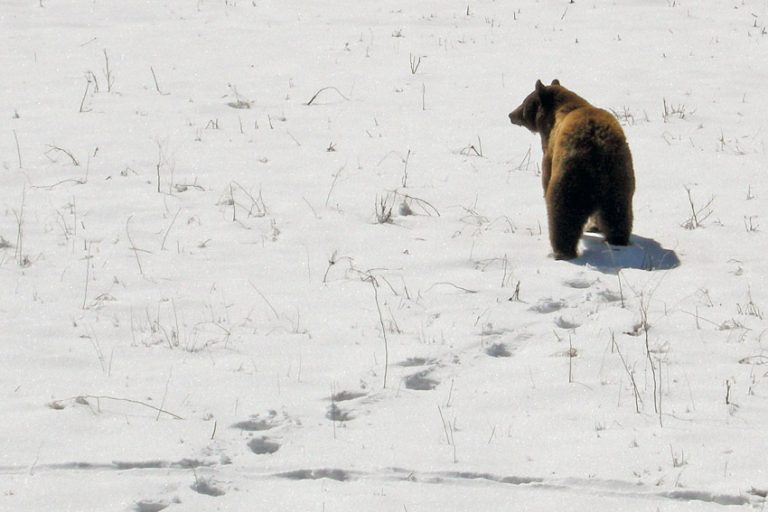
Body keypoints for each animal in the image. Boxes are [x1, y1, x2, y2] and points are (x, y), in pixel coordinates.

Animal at [508, 79, 635, 260]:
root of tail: (596, 144)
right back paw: (617, 240)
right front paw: (594, 226)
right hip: (618, 176)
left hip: (571, 174)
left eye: (524, 101)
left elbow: (545, 179)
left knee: (563, 213)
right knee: (618, 214)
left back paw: (562, 251)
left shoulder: (550, 152)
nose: (511, 115)